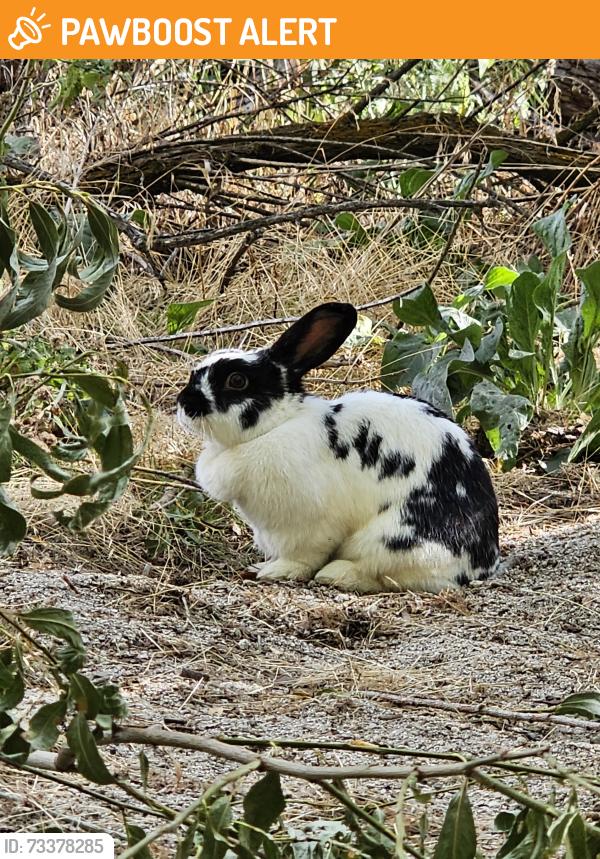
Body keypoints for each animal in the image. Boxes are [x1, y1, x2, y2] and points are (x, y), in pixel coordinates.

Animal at [176, 302, 500, 593]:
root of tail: (481, 564)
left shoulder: (311, 526)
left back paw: (337, 574)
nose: (184, 404)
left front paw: (275, 571)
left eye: (236, 380)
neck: (276, 425)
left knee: (382, 574)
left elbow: (303, 557)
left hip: (395, 540)